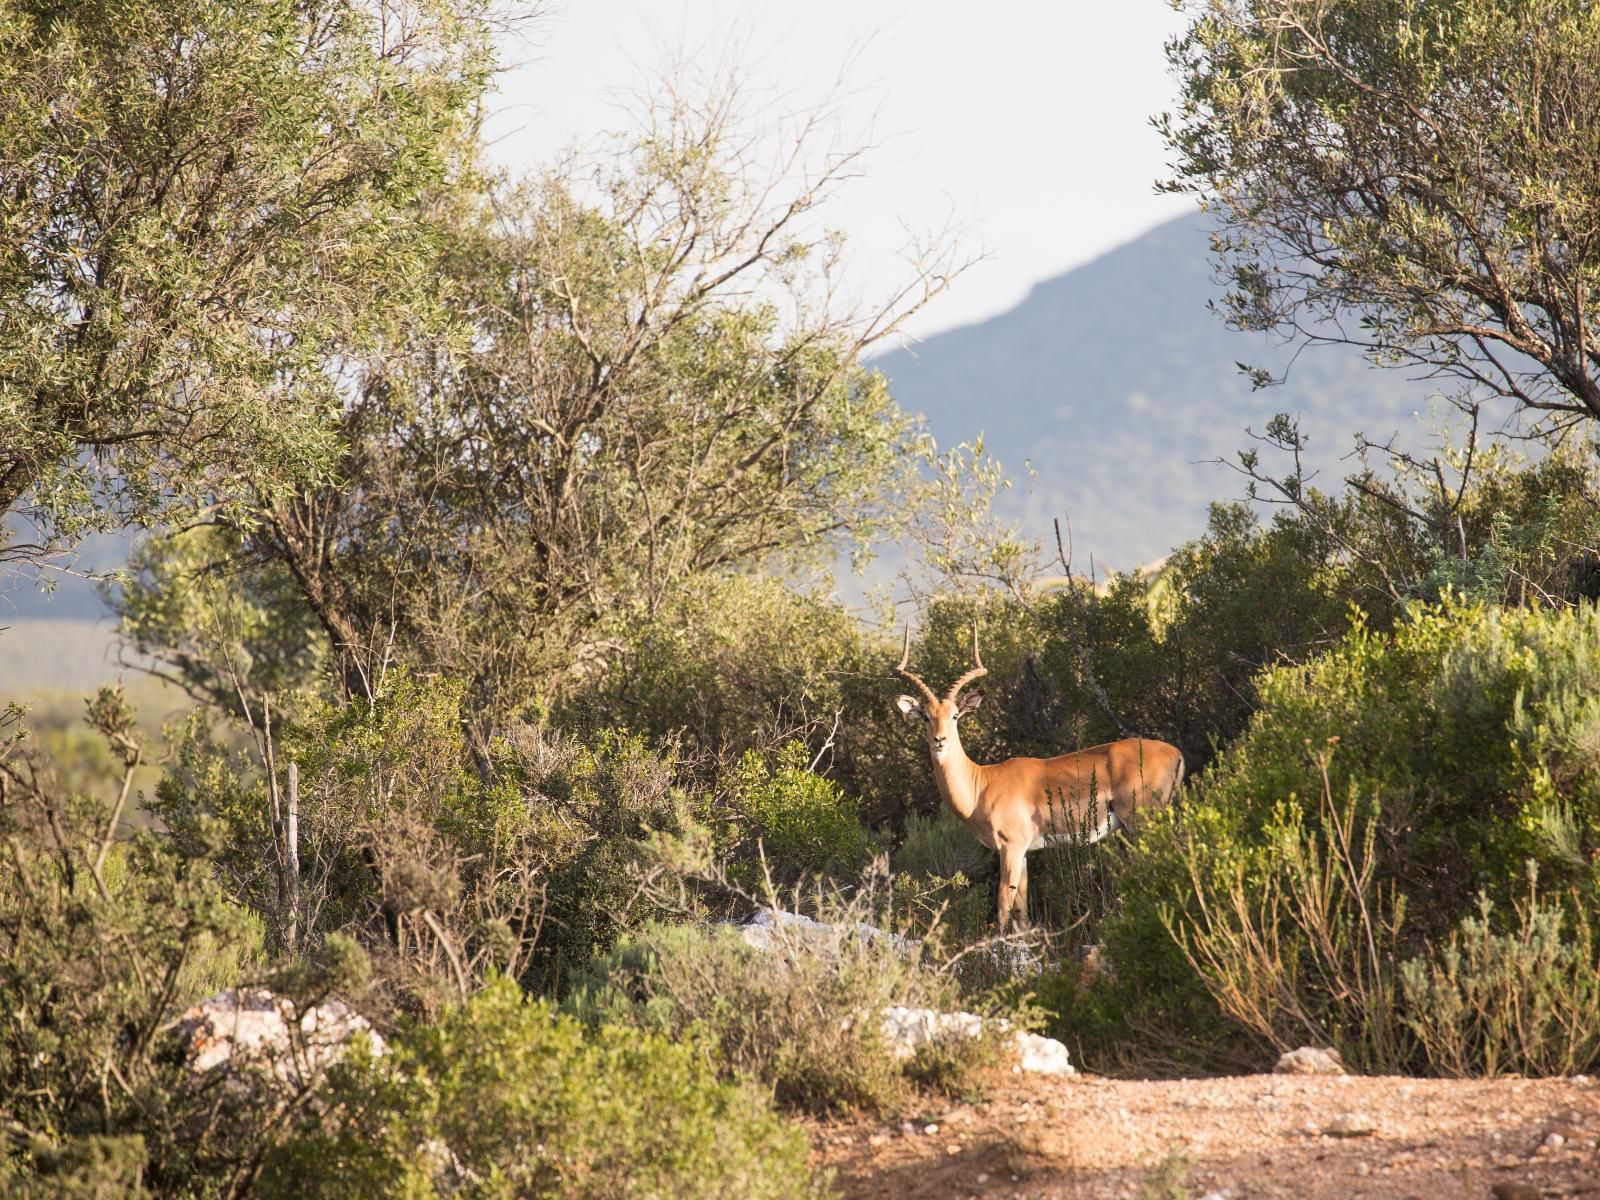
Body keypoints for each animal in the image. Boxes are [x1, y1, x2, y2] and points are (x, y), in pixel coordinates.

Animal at [896, 624, 1184, 934]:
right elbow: (1022, 912)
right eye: (925, 716)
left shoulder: (1010, 847)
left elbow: (1003, 905)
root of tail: (1175, 752)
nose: (940, 740)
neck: (981, 784)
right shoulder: (1024, 852)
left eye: (956, 715)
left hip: (1142, 820)